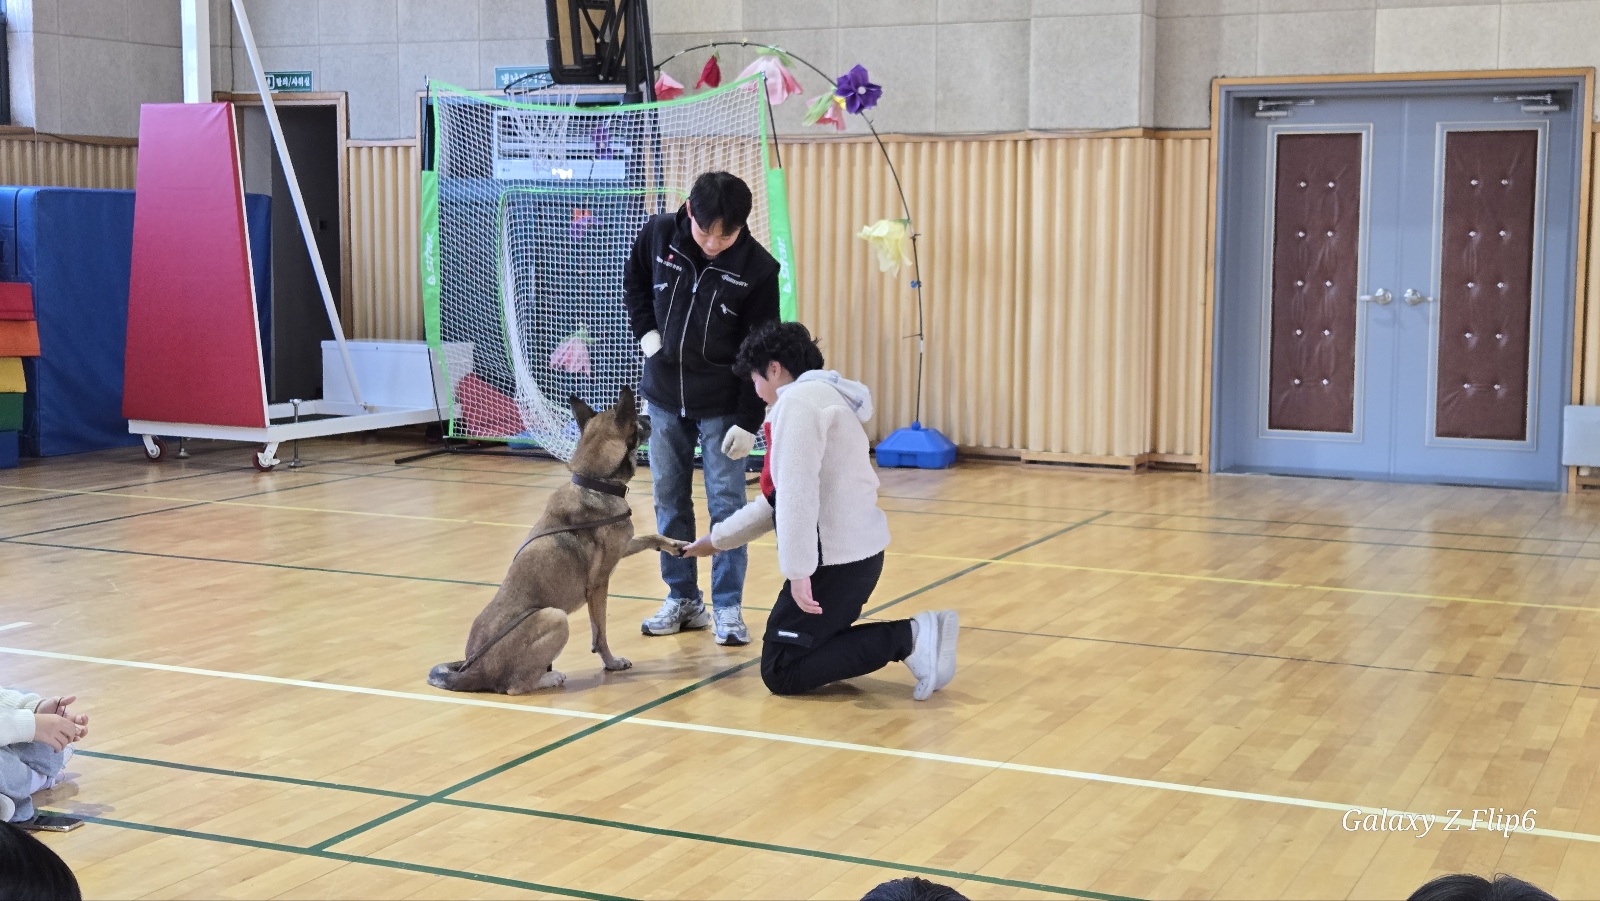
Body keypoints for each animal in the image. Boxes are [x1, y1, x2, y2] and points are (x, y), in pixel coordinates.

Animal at [425, 385, 681, 691]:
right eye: (639, 421)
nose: (650, 415)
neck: (595, 482)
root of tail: (473, 672)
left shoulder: (623, 547)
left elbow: (652, 536)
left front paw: (674, 545)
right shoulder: (599, 586)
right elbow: (600, 633)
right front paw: (611, 662)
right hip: (555, 617)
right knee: (514, 687)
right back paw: (550, 677)